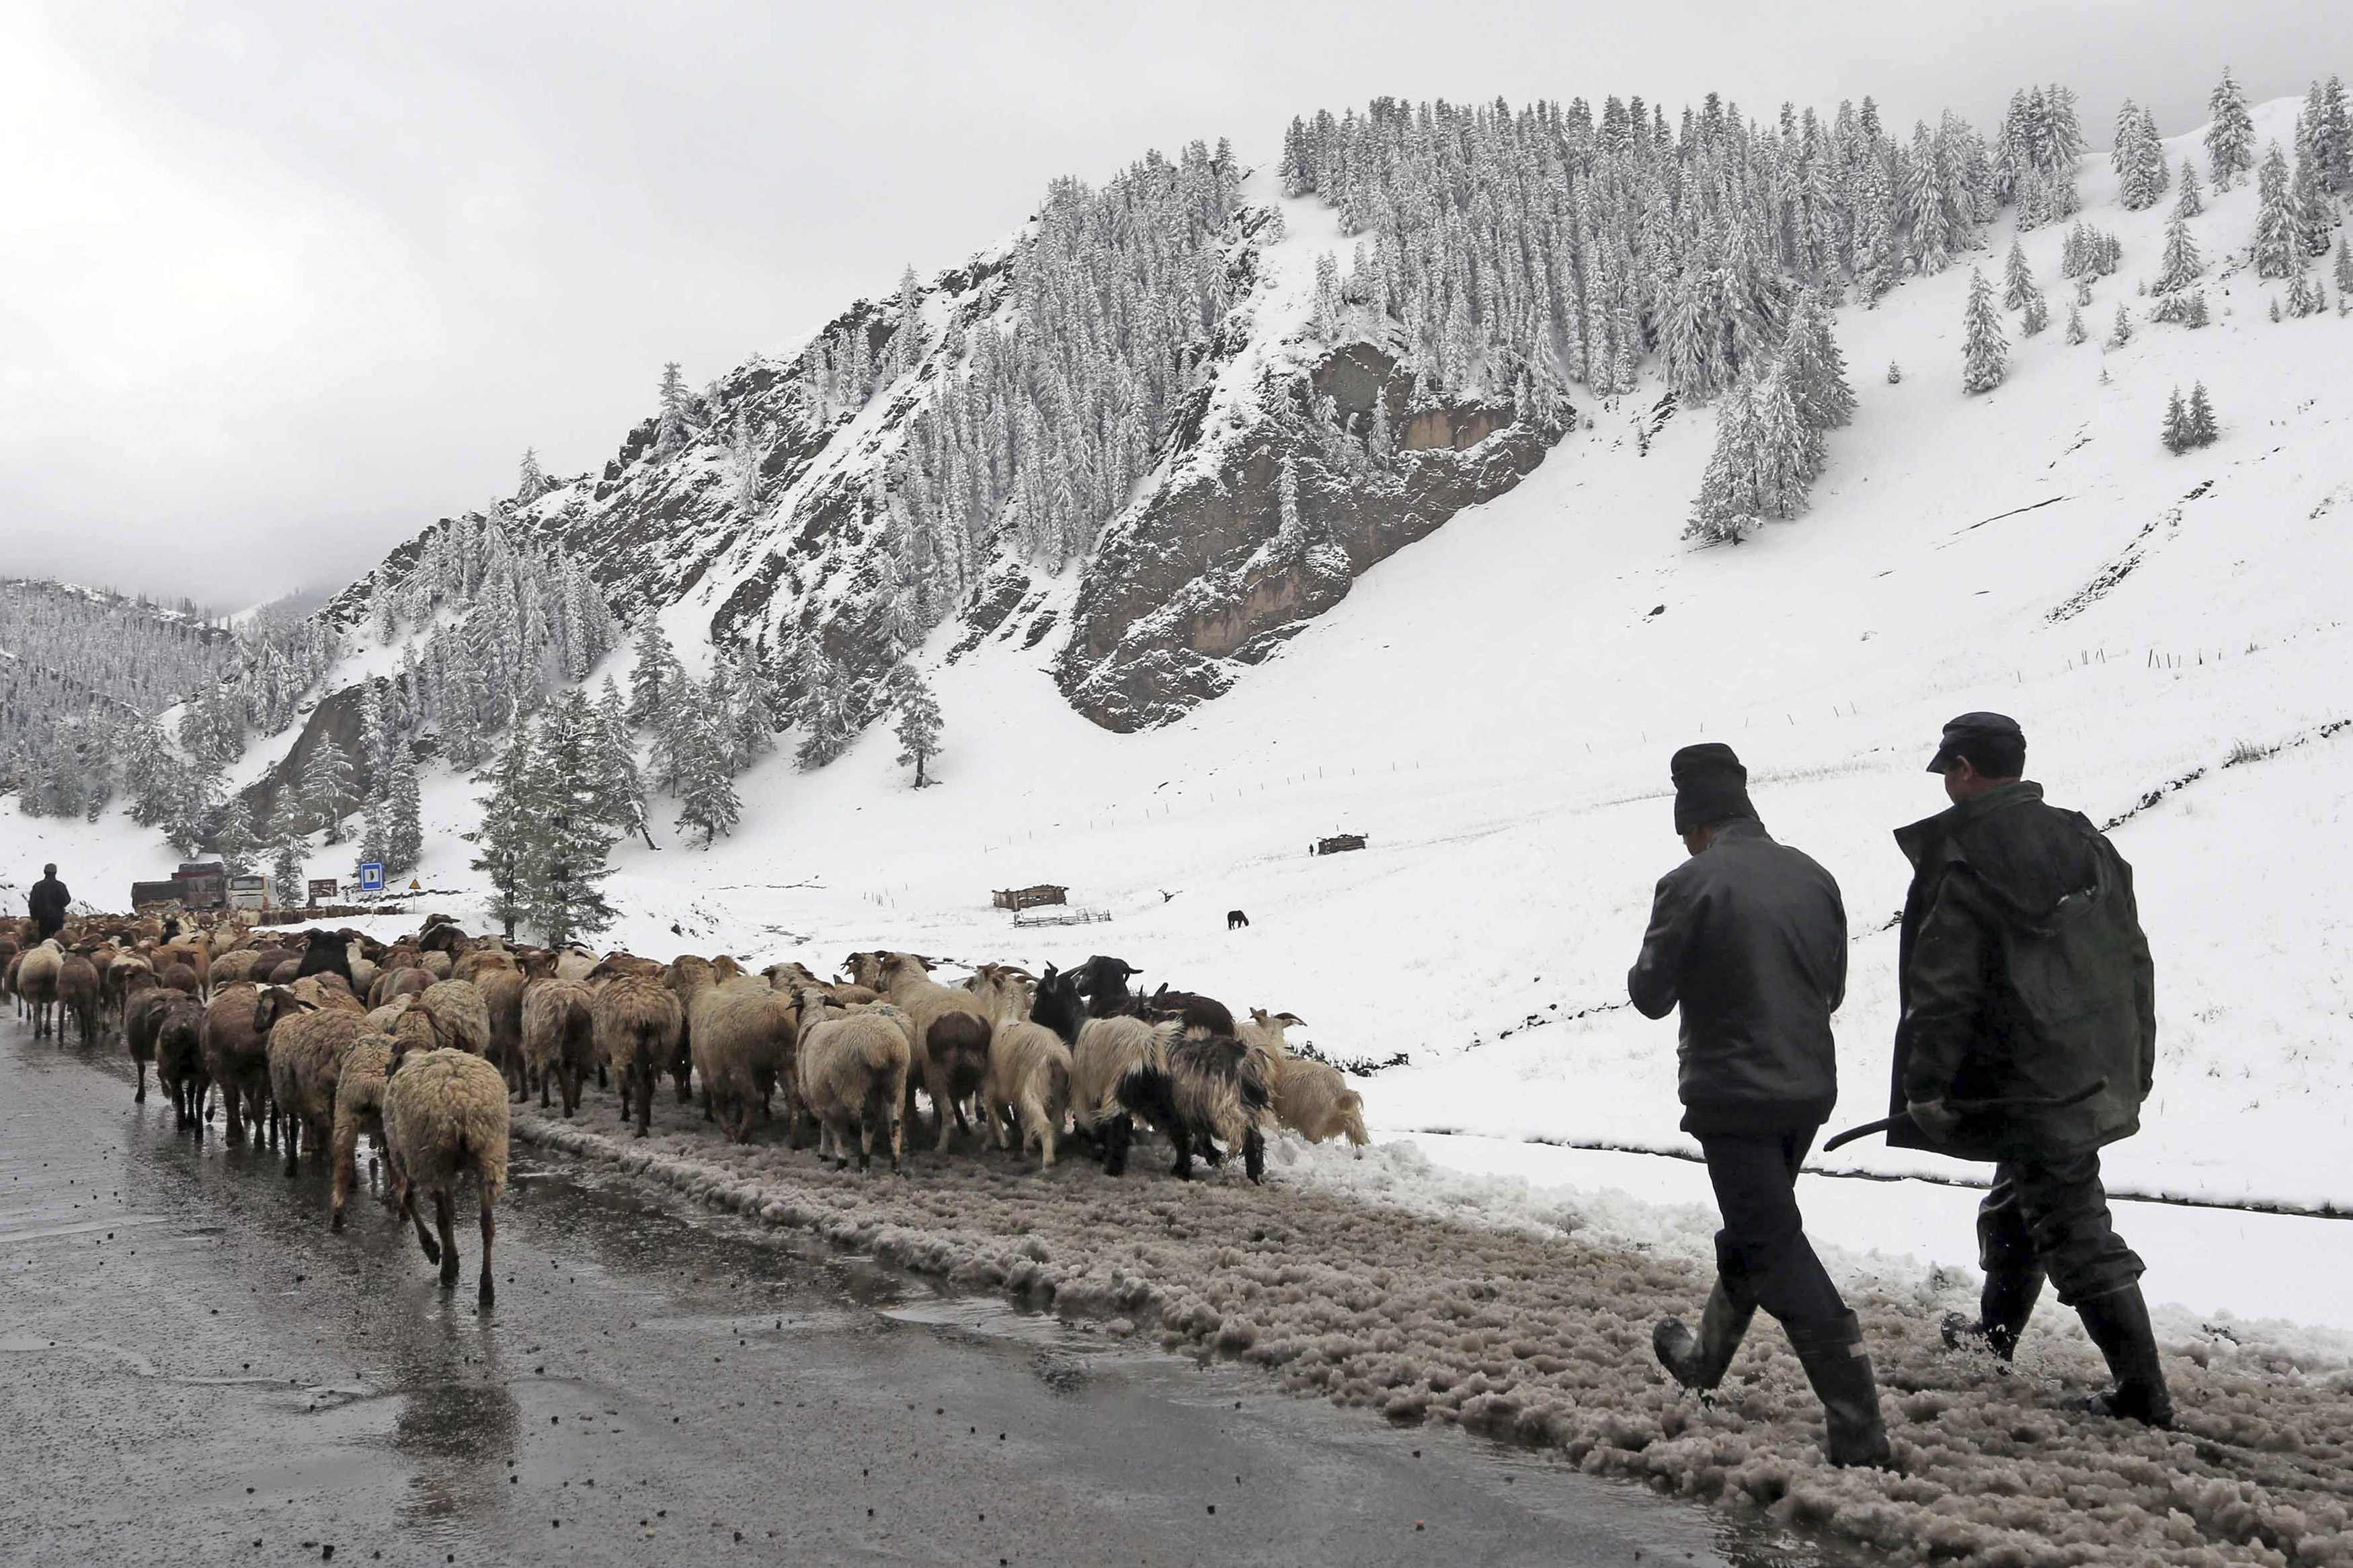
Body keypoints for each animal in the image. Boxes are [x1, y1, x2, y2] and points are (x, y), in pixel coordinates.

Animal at [381, 1044, 510, 1316]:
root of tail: (461, 1102)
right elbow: (450, 1209)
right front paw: (453, 1255)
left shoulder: (407, 1156)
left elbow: (409, 1199)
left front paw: (434, 1249)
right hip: (490, 1157)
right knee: (487, 1225)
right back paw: (486, 1288)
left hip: (432, 1158)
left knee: (440, 1218)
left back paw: (447, 1271)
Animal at [786, 987, 904, 1170]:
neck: (812, 1024)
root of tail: (886, 1045)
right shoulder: (825, 1093)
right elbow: (826, 1126)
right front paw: (825, 1154)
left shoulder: (821, 1093)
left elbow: (830, 1126)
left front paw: (837, 1157)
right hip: (893, 1083)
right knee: (894, 1122)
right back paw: (896, 1164)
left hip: (856, 1085)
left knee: (868, 1121)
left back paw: (863, 1161)